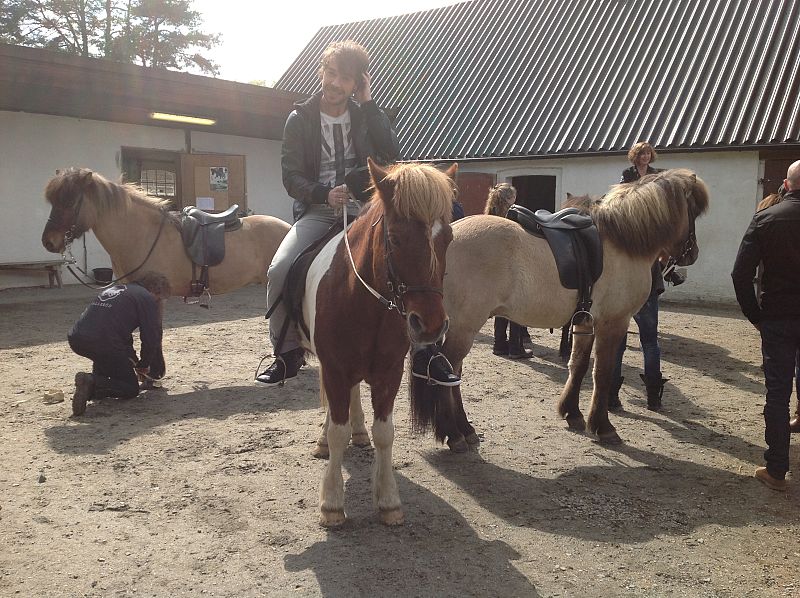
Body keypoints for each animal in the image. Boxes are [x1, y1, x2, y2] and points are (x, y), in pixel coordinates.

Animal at [304, 158, 456, 527]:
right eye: (396, 238)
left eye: (448, 238)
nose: (430, 325)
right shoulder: (334, 369)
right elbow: (337, 431)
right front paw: (332, 503)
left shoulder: (389, 373)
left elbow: (385, 433)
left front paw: (388, 500)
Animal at [409, 168, 710, 449]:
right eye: (693, 211)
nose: (692, 253)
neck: (623, 241)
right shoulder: (614, 323)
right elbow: (602, 373)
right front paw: (603, 426)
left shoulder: (585, 322)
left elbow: (578, 365)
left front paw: (572, 413)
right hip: (464, 326)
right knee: (448, 370)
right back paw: (454, 433)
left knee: (453, 373)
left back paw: (465, 429)